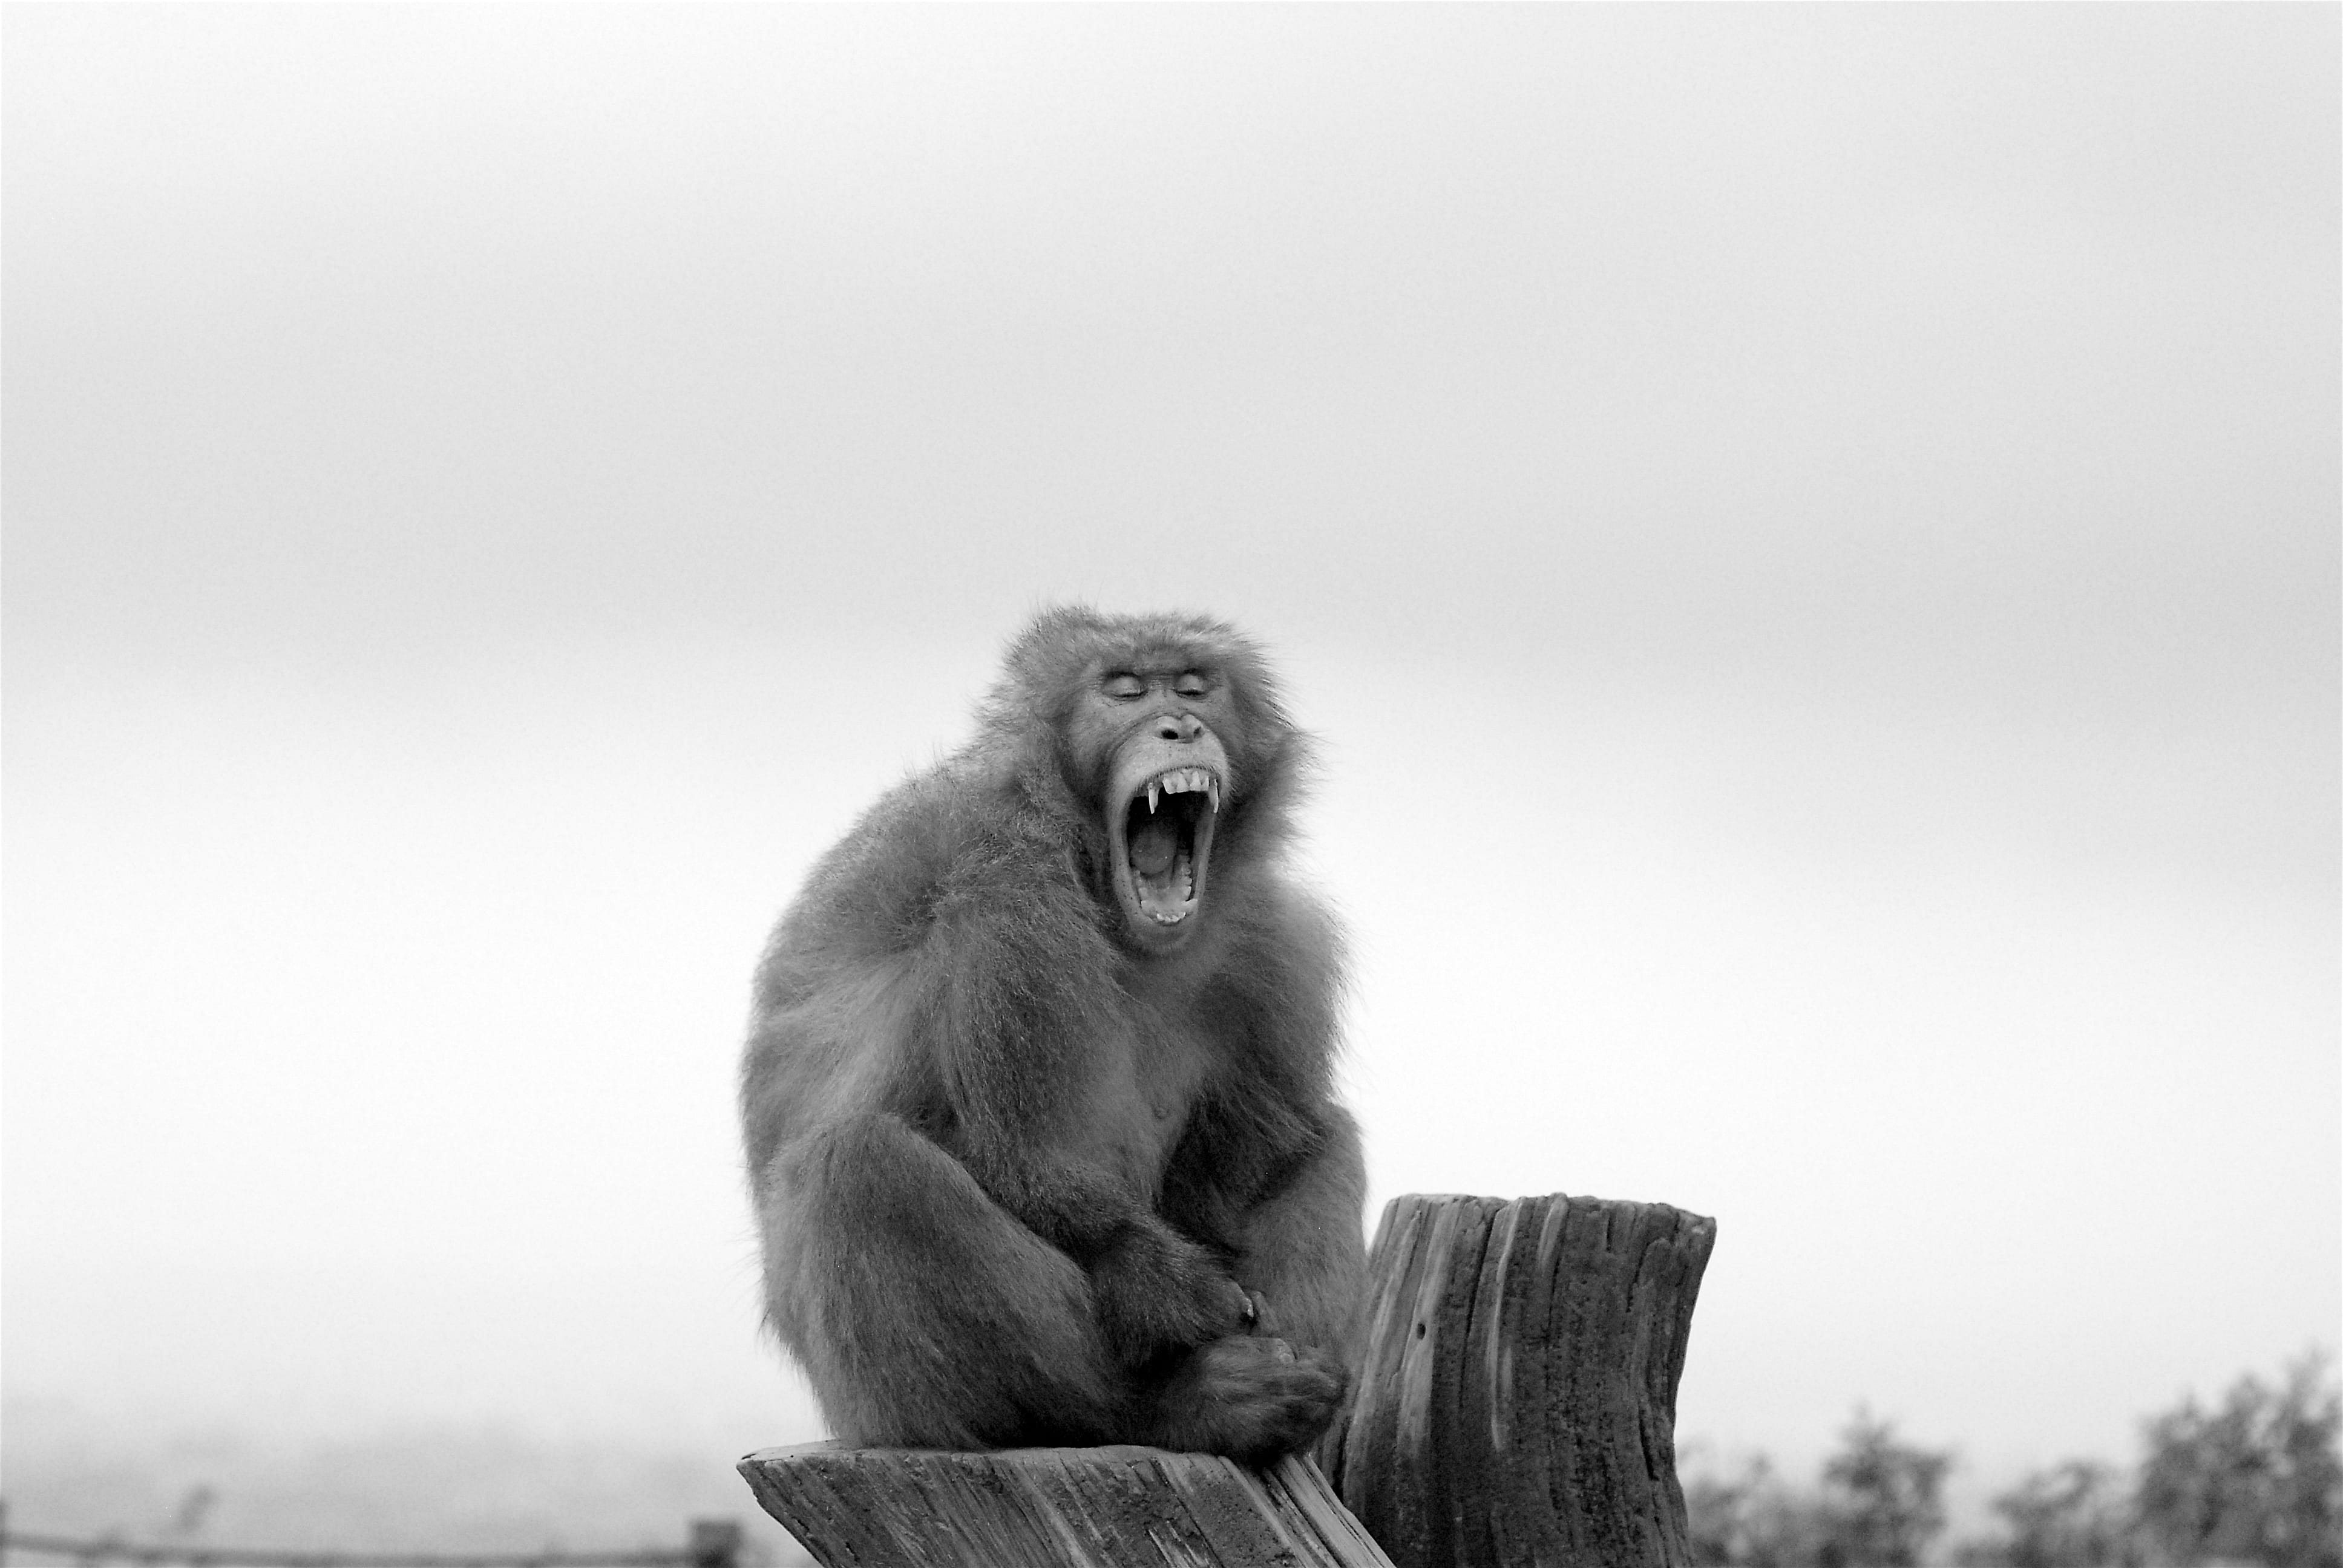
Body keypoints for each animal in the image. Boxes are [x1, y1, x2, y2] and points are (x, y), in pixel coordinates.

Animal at [740, 607, 1366, 1461]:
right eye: (1125, 690)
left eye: (1194, 687)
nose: (1178, 726)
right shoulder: (1010, 896)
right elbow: (1027, 1158)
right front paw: (1189, 1295)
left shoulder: (1278, 944)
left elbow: (1266, 1147)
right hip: (872, 1405)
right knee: (859, 1168)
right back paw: (1159, 1409)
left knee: (1323, 1137)